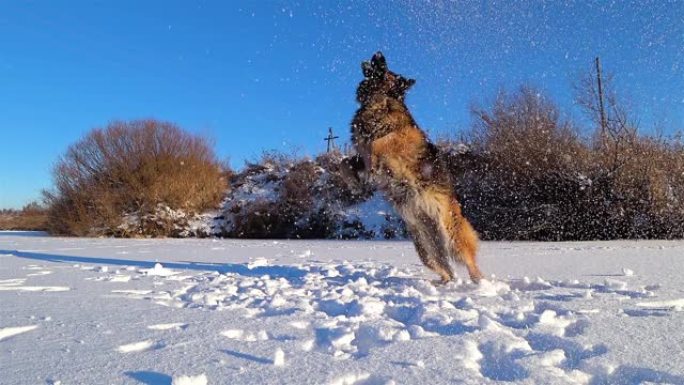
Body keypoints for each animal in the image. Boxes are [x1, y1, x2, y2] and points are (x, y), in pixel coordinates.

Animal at [344, 51, 484, 282]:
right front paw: (354, 182)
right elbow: (346, 162)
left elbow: (380, 143)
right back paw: (444, 283)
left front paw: (372, 165)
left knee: (470, 262)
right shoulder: (359, 155)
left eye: (384, 67)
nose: (379, 53)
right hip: (423, 247)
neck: (381, 101)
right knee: (444, 268)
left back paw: (479, 283)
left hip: (453, 236)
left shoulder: (395, 144)